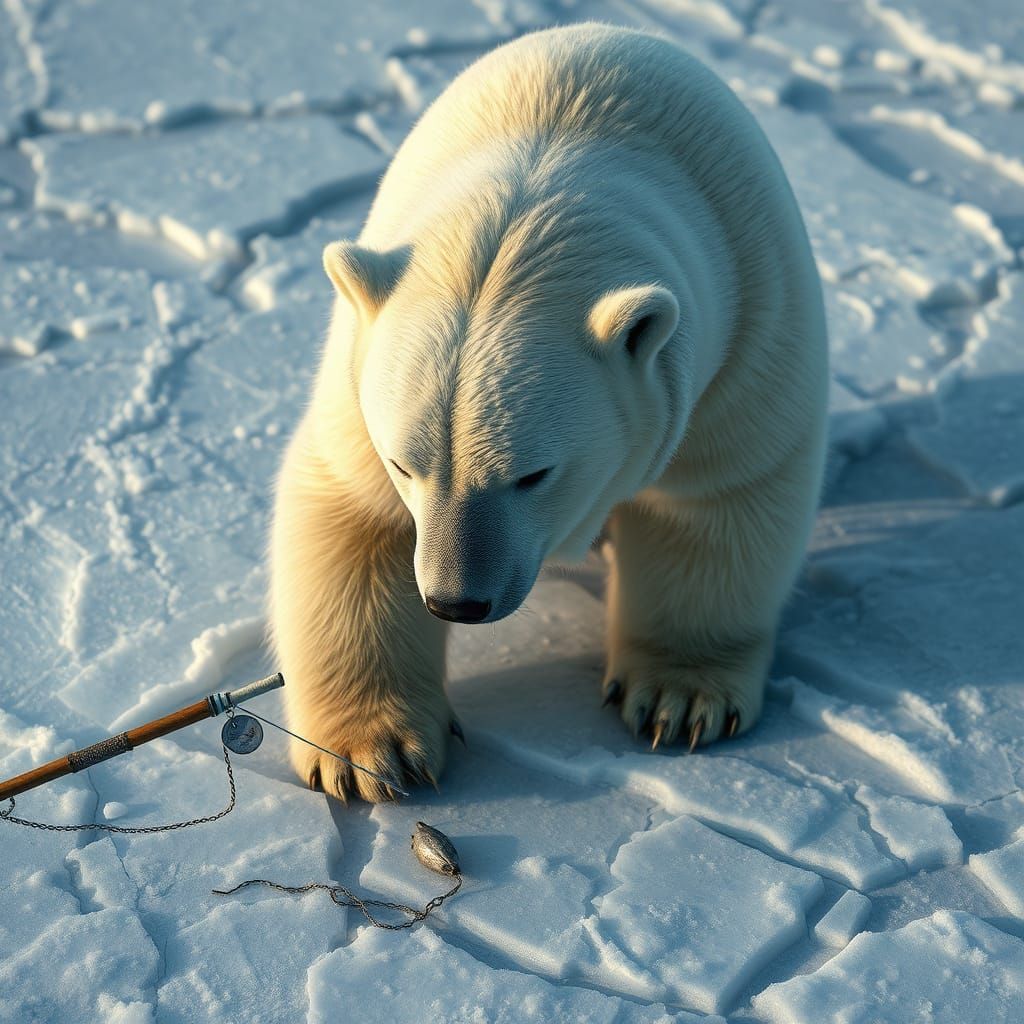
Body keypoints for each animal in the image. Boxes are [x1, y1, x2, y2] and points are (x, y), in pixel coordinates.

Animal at [269, 22, 829, 802]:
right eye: (404, 465)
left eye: (531, 474)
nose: (456, 601)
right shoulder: (362, 363)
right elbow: (357, 516)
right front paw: (371, 753)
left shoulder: (746, 328)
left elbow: (717, 499)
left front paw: (682, 698)